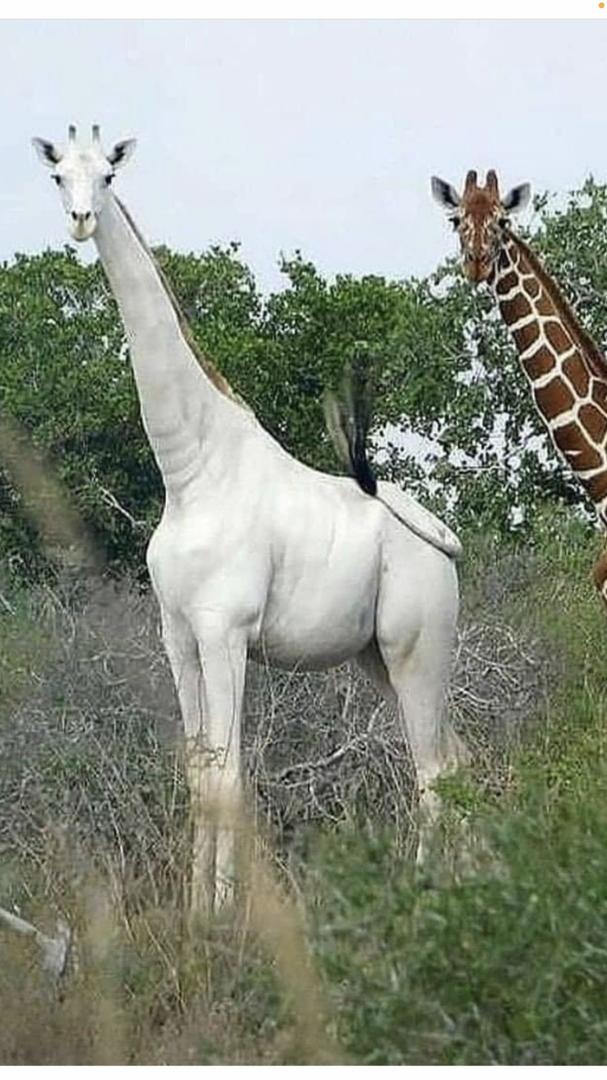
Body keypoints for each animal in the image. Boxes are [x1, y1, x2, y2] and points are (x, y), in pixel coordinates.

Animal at [33, 125, 465, 911]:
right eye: (57, 175)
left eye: (108, 174)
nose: (80, 221)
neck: (191, 470)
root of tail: (447, 545)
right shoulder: (177, 635)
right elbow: (200, 771)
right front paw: (191, 909)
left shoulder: (225, 630)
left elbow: (230, 777)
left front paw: (225, 918)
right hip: (378, 657)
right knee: (456, 760)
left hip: (417, 646)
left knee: (433, 773)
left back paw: (429, 894)